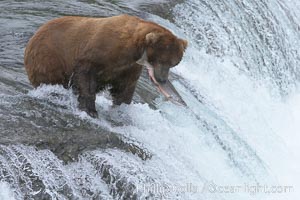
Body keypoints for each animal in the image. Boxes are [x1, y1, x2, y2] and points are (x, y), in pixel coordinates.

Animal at [24, 14, 188, 117]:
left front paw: (121, 107)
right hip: (49, 58)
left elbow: (125, 87)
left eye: (173, 63)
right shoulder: (100, 52)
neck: (132, 50)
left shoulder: (128, 67)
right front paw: (90, 109)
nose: (162, 79)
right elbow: (85, 75)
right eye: (161, 60)